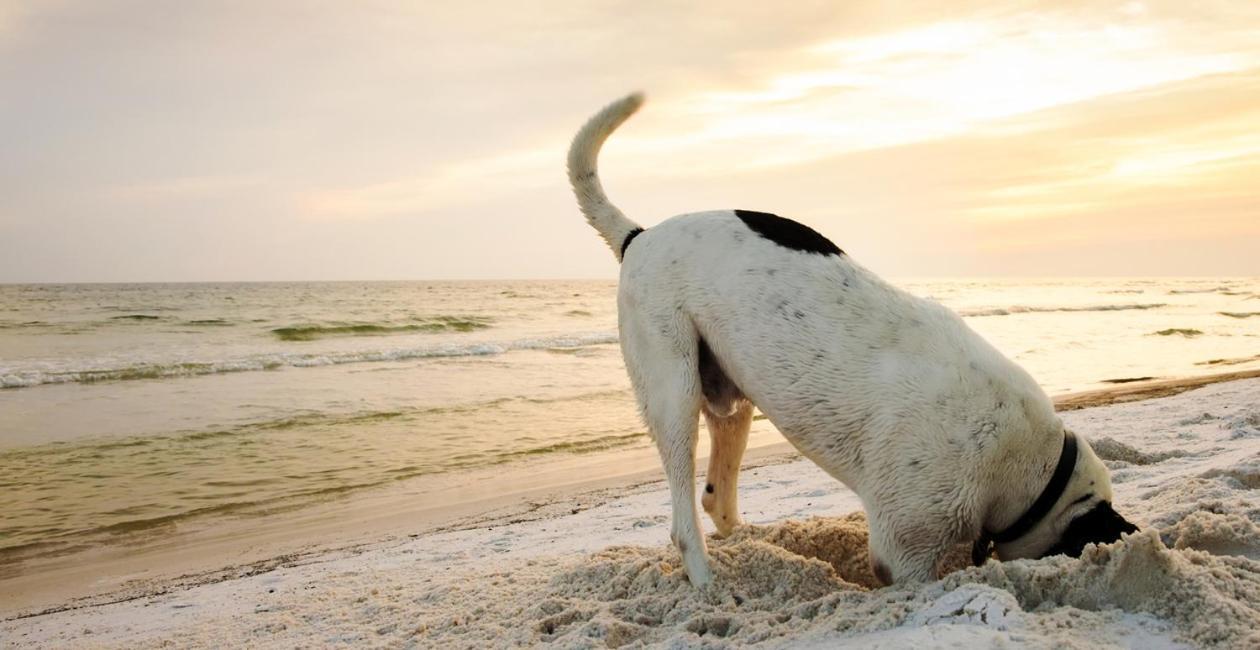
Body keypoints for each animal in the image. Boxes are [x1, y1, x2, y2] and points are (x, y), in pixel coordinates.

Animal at [567, 92, 1139, 589]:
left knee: (716, 496)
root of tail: (639, 236)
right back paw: (708, 581)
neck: (1030, 465)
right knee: (684, 517)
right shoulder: (904, 548)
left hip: (731, 399)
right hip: (674, 390)